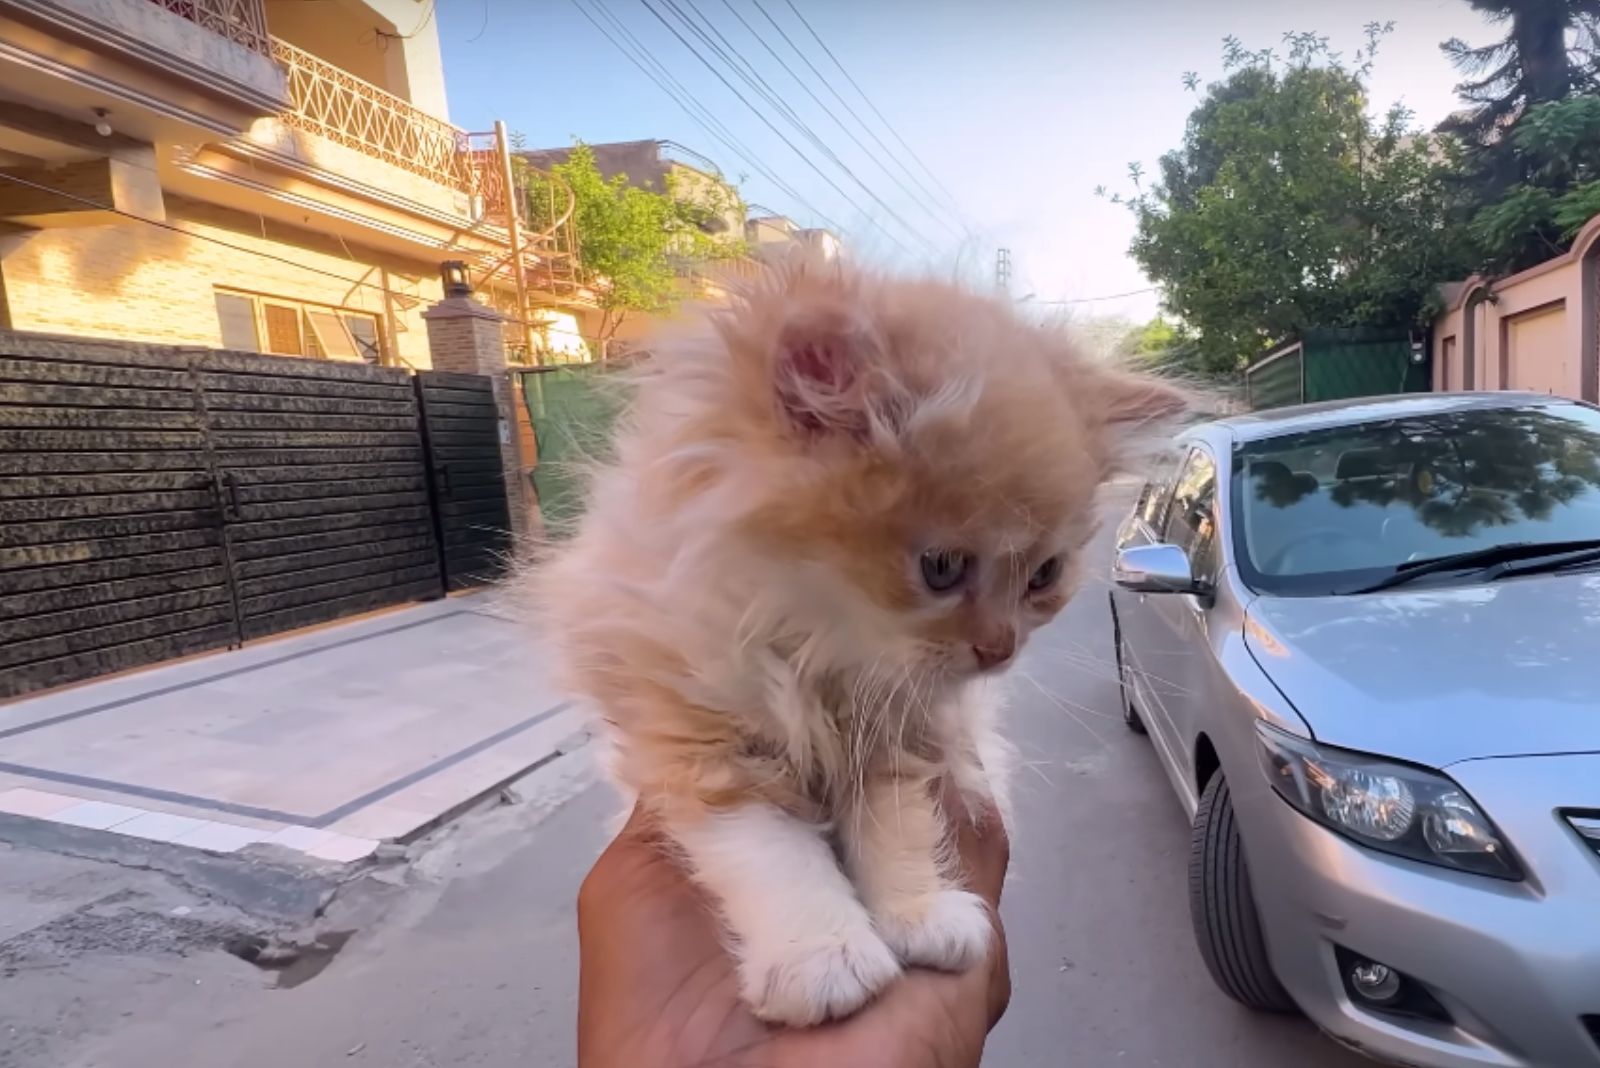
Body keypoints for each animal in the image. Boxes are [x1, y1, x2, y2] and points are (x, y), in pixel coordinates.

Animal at [537, 255, 1190, 1023]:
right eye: (942, 568)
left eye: (1043, 577)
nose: (1000, 650)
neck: (821, 641)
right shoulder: (696, 732)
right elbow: (772, 851)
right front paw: (821, 959)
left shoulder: (903, 732)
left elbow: (895, 824)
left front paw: (921, 916)